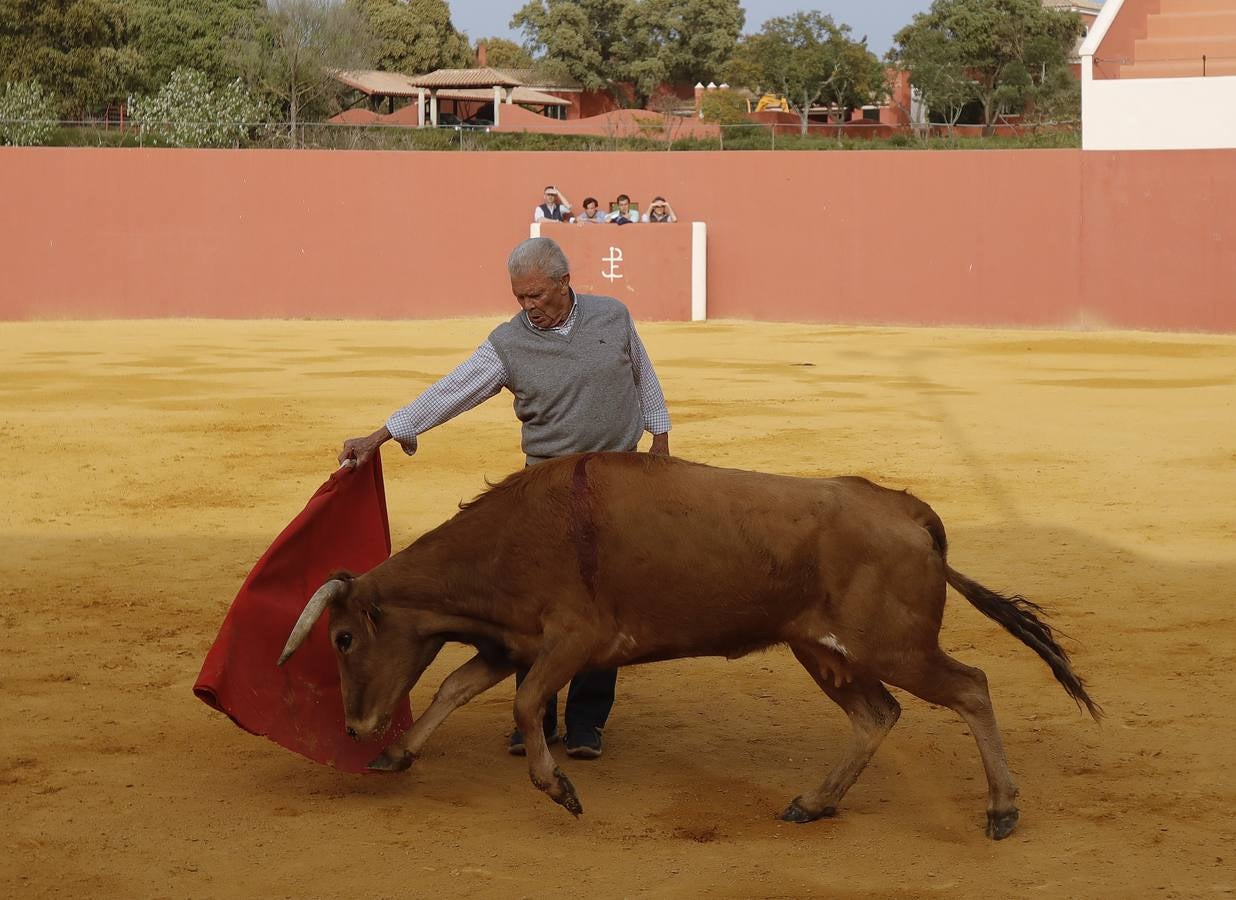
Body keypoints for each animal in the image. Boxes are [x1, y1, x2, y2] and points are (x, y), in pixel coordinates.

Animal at [275, 452, 1097, 840]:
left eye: (342, 637)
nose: (355, 728)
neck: (511, 535)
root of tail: (908, 509)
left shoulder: (571, 641)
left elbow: (525, 702)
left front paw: (559, 788)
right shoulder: (511, 643)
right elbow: (456, 688)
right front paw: (398, 753)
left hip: (894, 647)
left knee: (970, 688)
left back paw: (1002, 810)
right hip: (822, 650)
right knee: (878, 715)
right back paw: (813, 802)